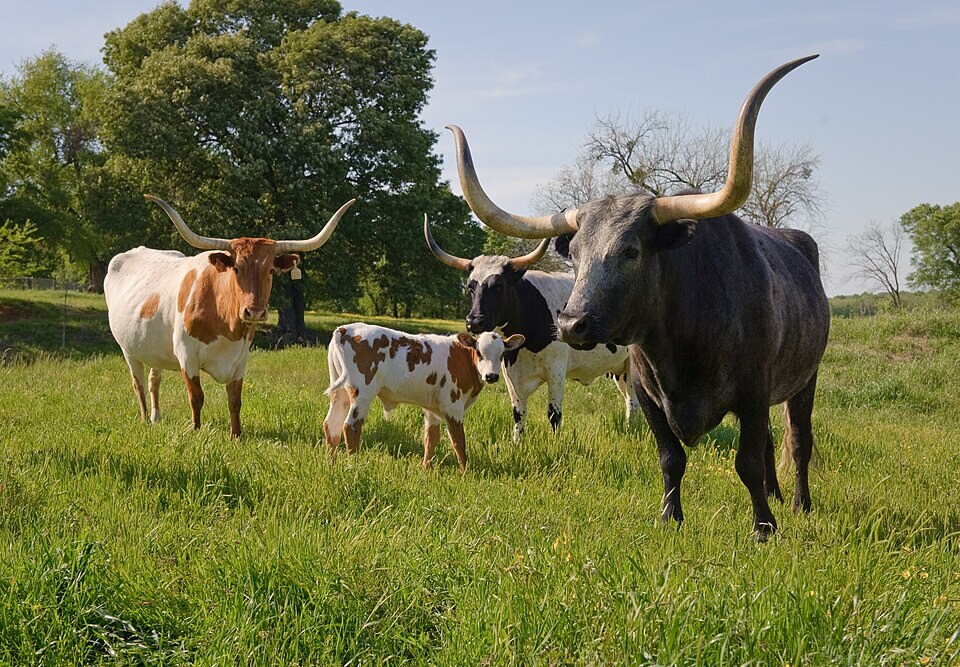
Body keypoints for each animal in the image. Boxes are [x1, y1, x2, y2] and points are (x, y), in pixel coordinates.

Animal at [104, 195, 355, 438]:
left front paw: (236, 435)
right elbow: (196, 397)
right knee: (138, 384)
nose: (254, 311)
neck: (226, 323)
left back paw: (156, 418)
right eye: (236, 268)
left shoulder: (240, 358)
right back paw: (144, 419)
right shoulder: (187, 355)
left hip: (154, 348)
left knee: (153, 380)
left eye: (271, 270)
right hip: (128, 349)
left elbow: (235, 400)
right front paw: (196, 431)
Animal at [323, 324, 524, 470]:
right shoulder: (453, 405)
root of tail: (345, 329)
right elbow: (458, 439)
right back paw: (354, 465)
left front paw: (425, 468)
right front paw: (465, 471)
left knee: (331, 425)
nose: (491, 376)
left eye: (501, 354)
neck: (462, 358)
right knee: (351, 426)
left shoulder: (432, 409)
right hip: (362, 393)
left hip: (340, 393)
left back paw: (331, 463)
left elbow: (431, 438)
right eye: (479, 353)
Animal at [424, 214, 639, 440]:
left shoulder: (556, 369)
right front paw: (516, 442)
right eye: (470, 287)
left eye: (499, 285)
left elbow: (554, 414)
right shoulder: (509, 371)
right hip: (620, 368)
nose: (474, 321)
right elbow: (518, 413)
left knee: (633, 402)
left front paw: (556, 442)